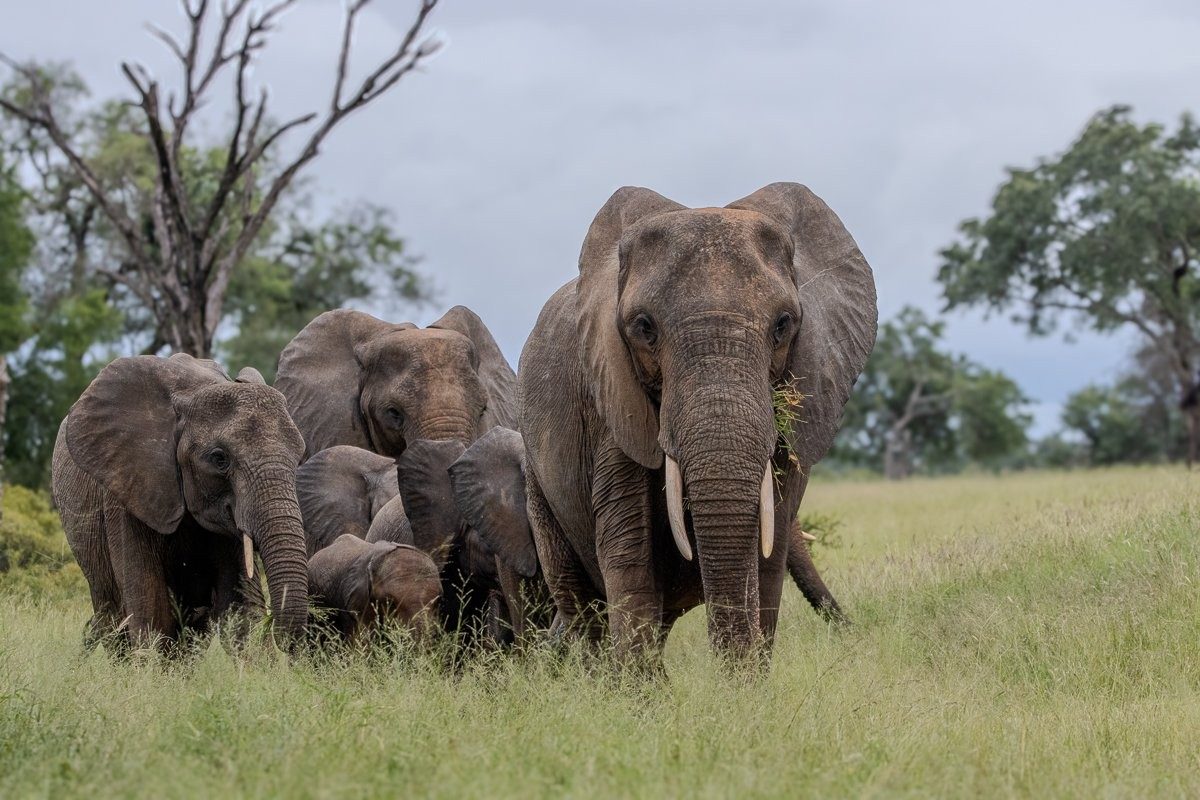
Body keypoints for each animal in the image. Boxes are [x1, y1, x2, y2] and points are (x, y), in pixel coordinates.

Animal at [51, 353, 310, 649]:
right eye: (219, 458)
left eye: (299, 457)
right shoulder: (127, 490)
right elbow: (150, 609)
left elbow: (238, 610)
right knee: (113, 618)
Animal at [518, 182, 876, 665]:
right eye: (644, 327)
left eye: (783, 324)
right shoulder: (610, 399)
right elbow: (629, 549)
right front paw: (638, 686)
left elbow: (769, 550)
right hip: (535, 477)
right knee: (578, 601)